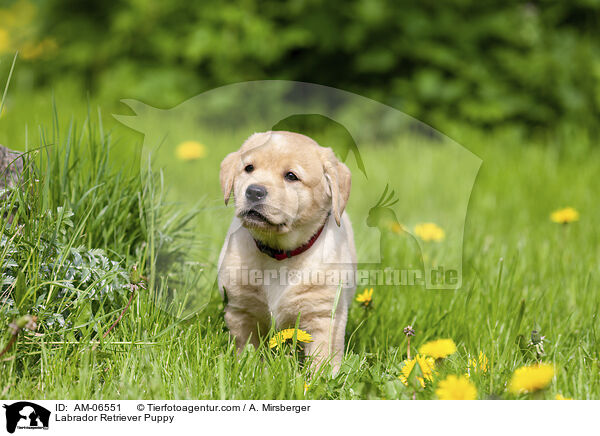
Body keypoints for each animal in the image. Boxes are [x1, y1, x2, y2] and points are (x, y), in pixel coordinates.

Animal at [218, 130, 356, 374]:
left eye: (291, 176)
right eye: (249, 168)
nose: (254, 191)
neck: (278, 254)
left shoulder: (324, 316)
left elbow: (322, 361)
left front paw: (320, 380)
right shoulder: (241, 310)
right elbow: (246, 351)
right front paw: (247, 371)